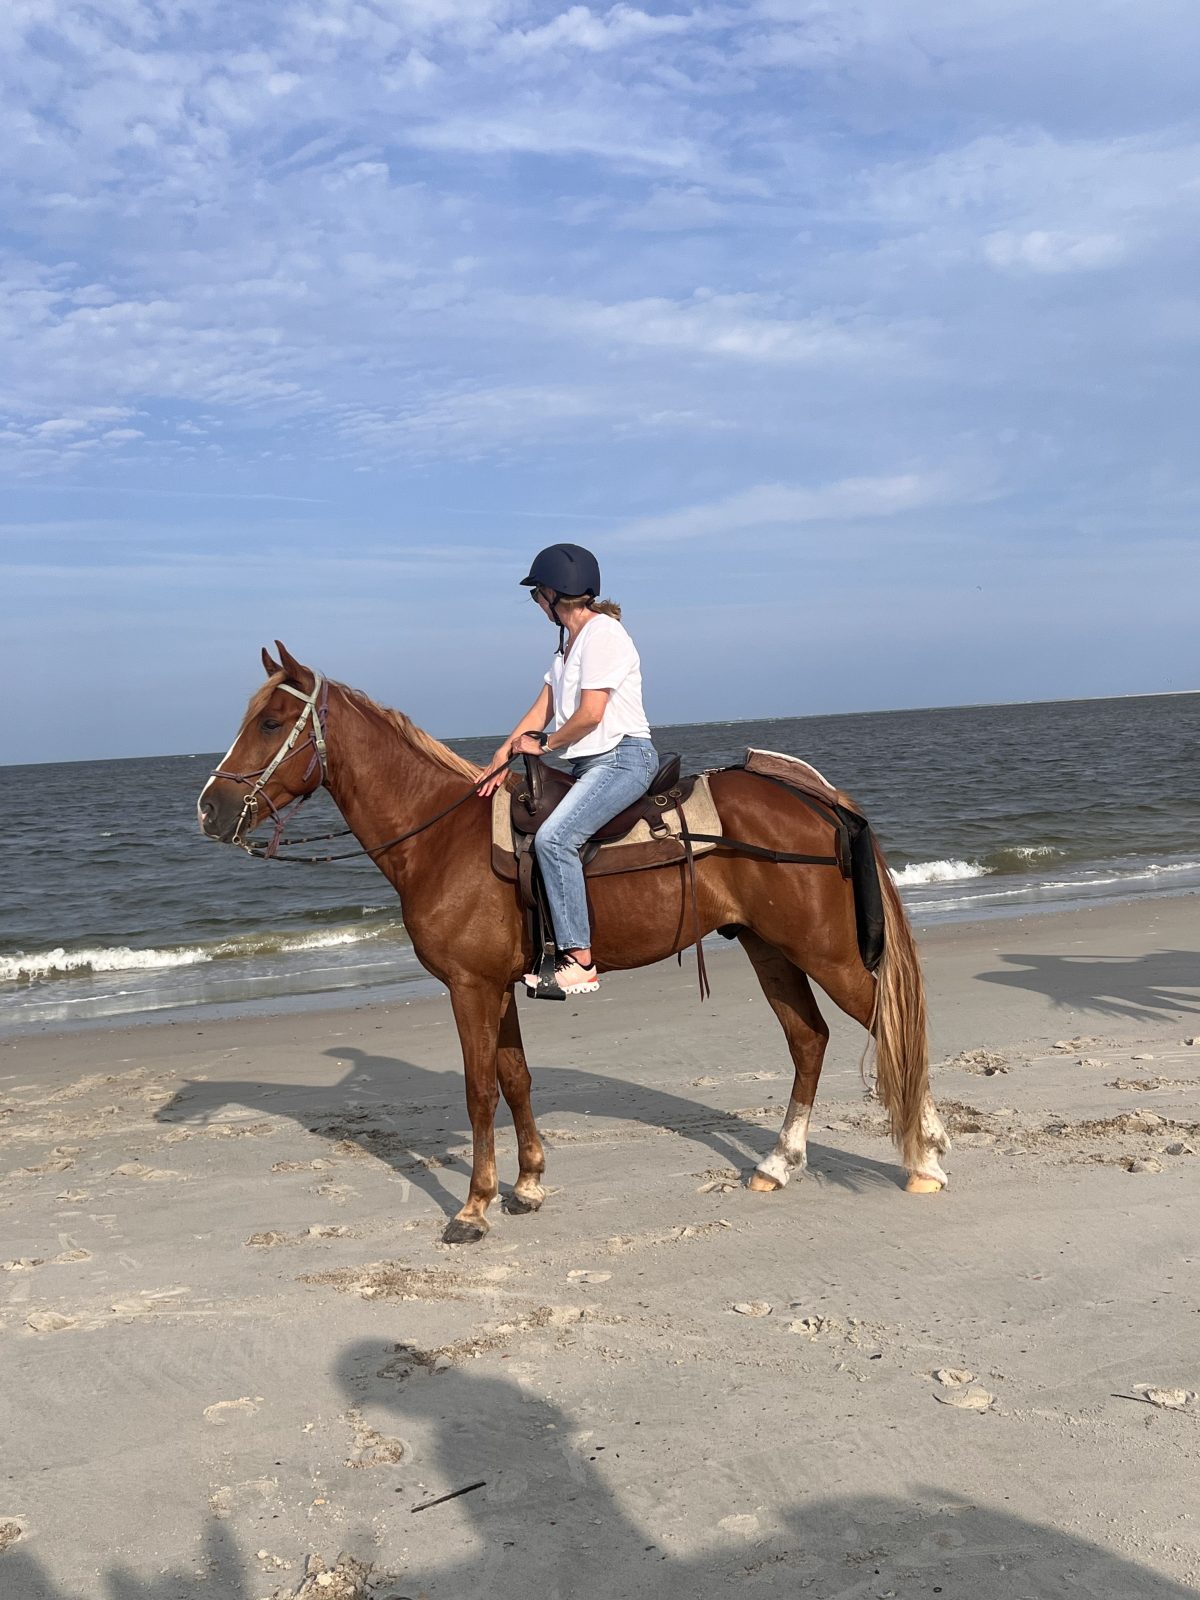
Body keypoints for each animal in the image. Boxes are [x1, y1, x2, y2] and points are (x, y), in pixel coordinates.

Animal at [197, 642, 950, 1244]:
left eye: (270, 722)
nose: (208, 808)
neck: (441, 838)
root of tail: (813, 796)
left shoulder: (469, 988)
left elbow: (479, 1090)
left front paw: (473, 1208)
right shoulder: (498, 986)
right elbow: (515, 1079)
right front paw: (527, 1185)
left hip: (825, 950)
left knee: (888, 1025)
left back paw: (924, 1157)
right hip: (769, 948)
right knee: (809, 1041)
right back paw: (779, 1164)